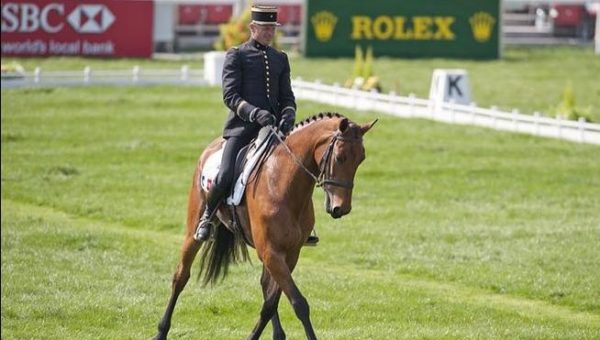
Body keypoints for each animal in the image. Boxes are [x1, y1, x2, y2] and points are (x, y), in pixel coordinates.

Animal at [156, 112, 376, 340]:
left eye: (361, 159)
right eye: (340, 157)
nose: (341, 208)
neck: (284, 184)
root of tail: (212, 146)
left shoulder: (289, 254)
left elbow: (270, 304)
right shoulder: (271, 253)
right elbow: (299, 303)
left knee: (264, 285)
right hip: (194, 230)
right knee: (180, 276)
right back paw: (161, 331)